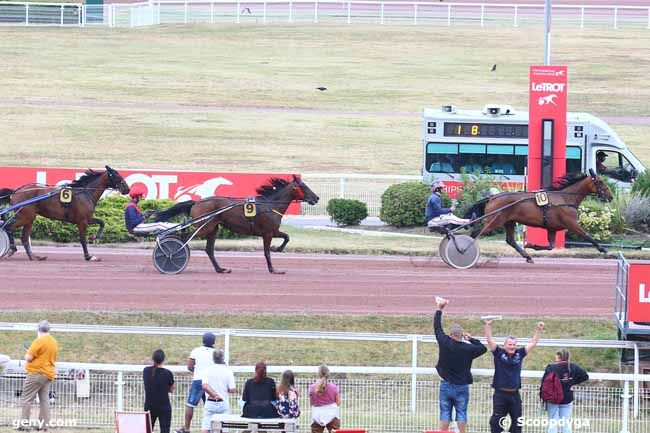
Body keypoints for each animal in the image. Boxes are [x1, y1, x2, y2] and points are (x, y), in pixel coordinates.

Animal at [1, 165, 131, 260]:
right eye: (117, 175)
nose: (127, 189)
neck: (85, 193)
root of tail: (16, 191)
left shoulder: (87, 218)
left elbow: (102, 222)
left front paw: (95, 237)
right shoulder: (82, 221)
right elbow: (82, 239)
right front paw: (88, 256)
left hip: (29, 218)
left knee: (24, 238)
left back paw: (35, 257)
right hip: (25, 216)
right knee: (8, 228)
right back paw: (12, 249)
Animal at [157, 173, 318, 272]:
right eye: (304, 187)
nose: (317, 198)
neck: (270, 205)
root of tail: (197, 202)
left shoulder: (273, 231)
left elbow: (286, 237)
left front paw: (277, 249)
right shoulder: (267, 233)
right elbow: (266, 252)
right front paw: (273, 269)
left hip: (213, 228)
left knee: (209, 249)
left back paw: (220, 269)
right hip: (204, 227)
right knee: (183, 239)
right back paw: (171, 255)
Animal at [464, 170, 612, 264]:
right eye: (600, 182)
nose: (610, 197)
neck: (565, 198)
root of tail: (492, 197)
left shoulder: (552, 228)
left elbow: (551, 246)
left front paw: (531, 245)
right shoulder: (572, 224)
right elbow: (588, 236)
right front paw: (604, 250)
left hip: (509, 221)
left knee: (510, 240)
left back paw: (527, 256)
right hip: (494, 222)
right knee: (476, 233)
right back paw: (464, 250)